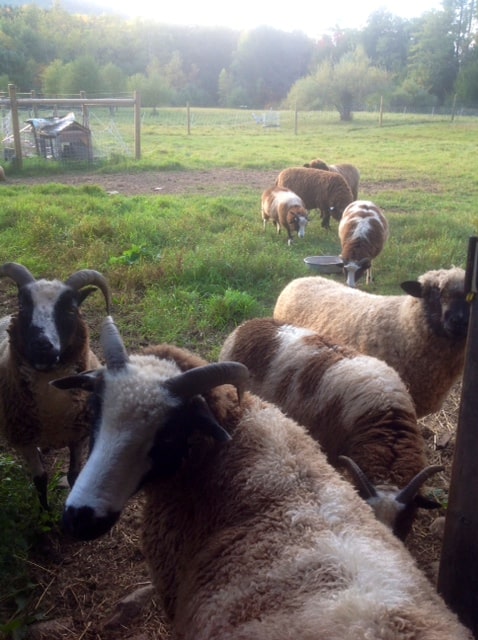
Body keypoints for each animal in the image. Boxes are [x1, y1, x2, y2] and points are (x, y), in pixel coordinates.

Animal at [0, 261, 112, 509]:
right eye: (22, 307)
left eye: (71, 310)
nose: (42, 346)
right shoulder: (24, 439)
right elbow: (40, 479)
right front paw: (44, 512)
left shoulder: (78, 436)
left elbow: (74, 475)